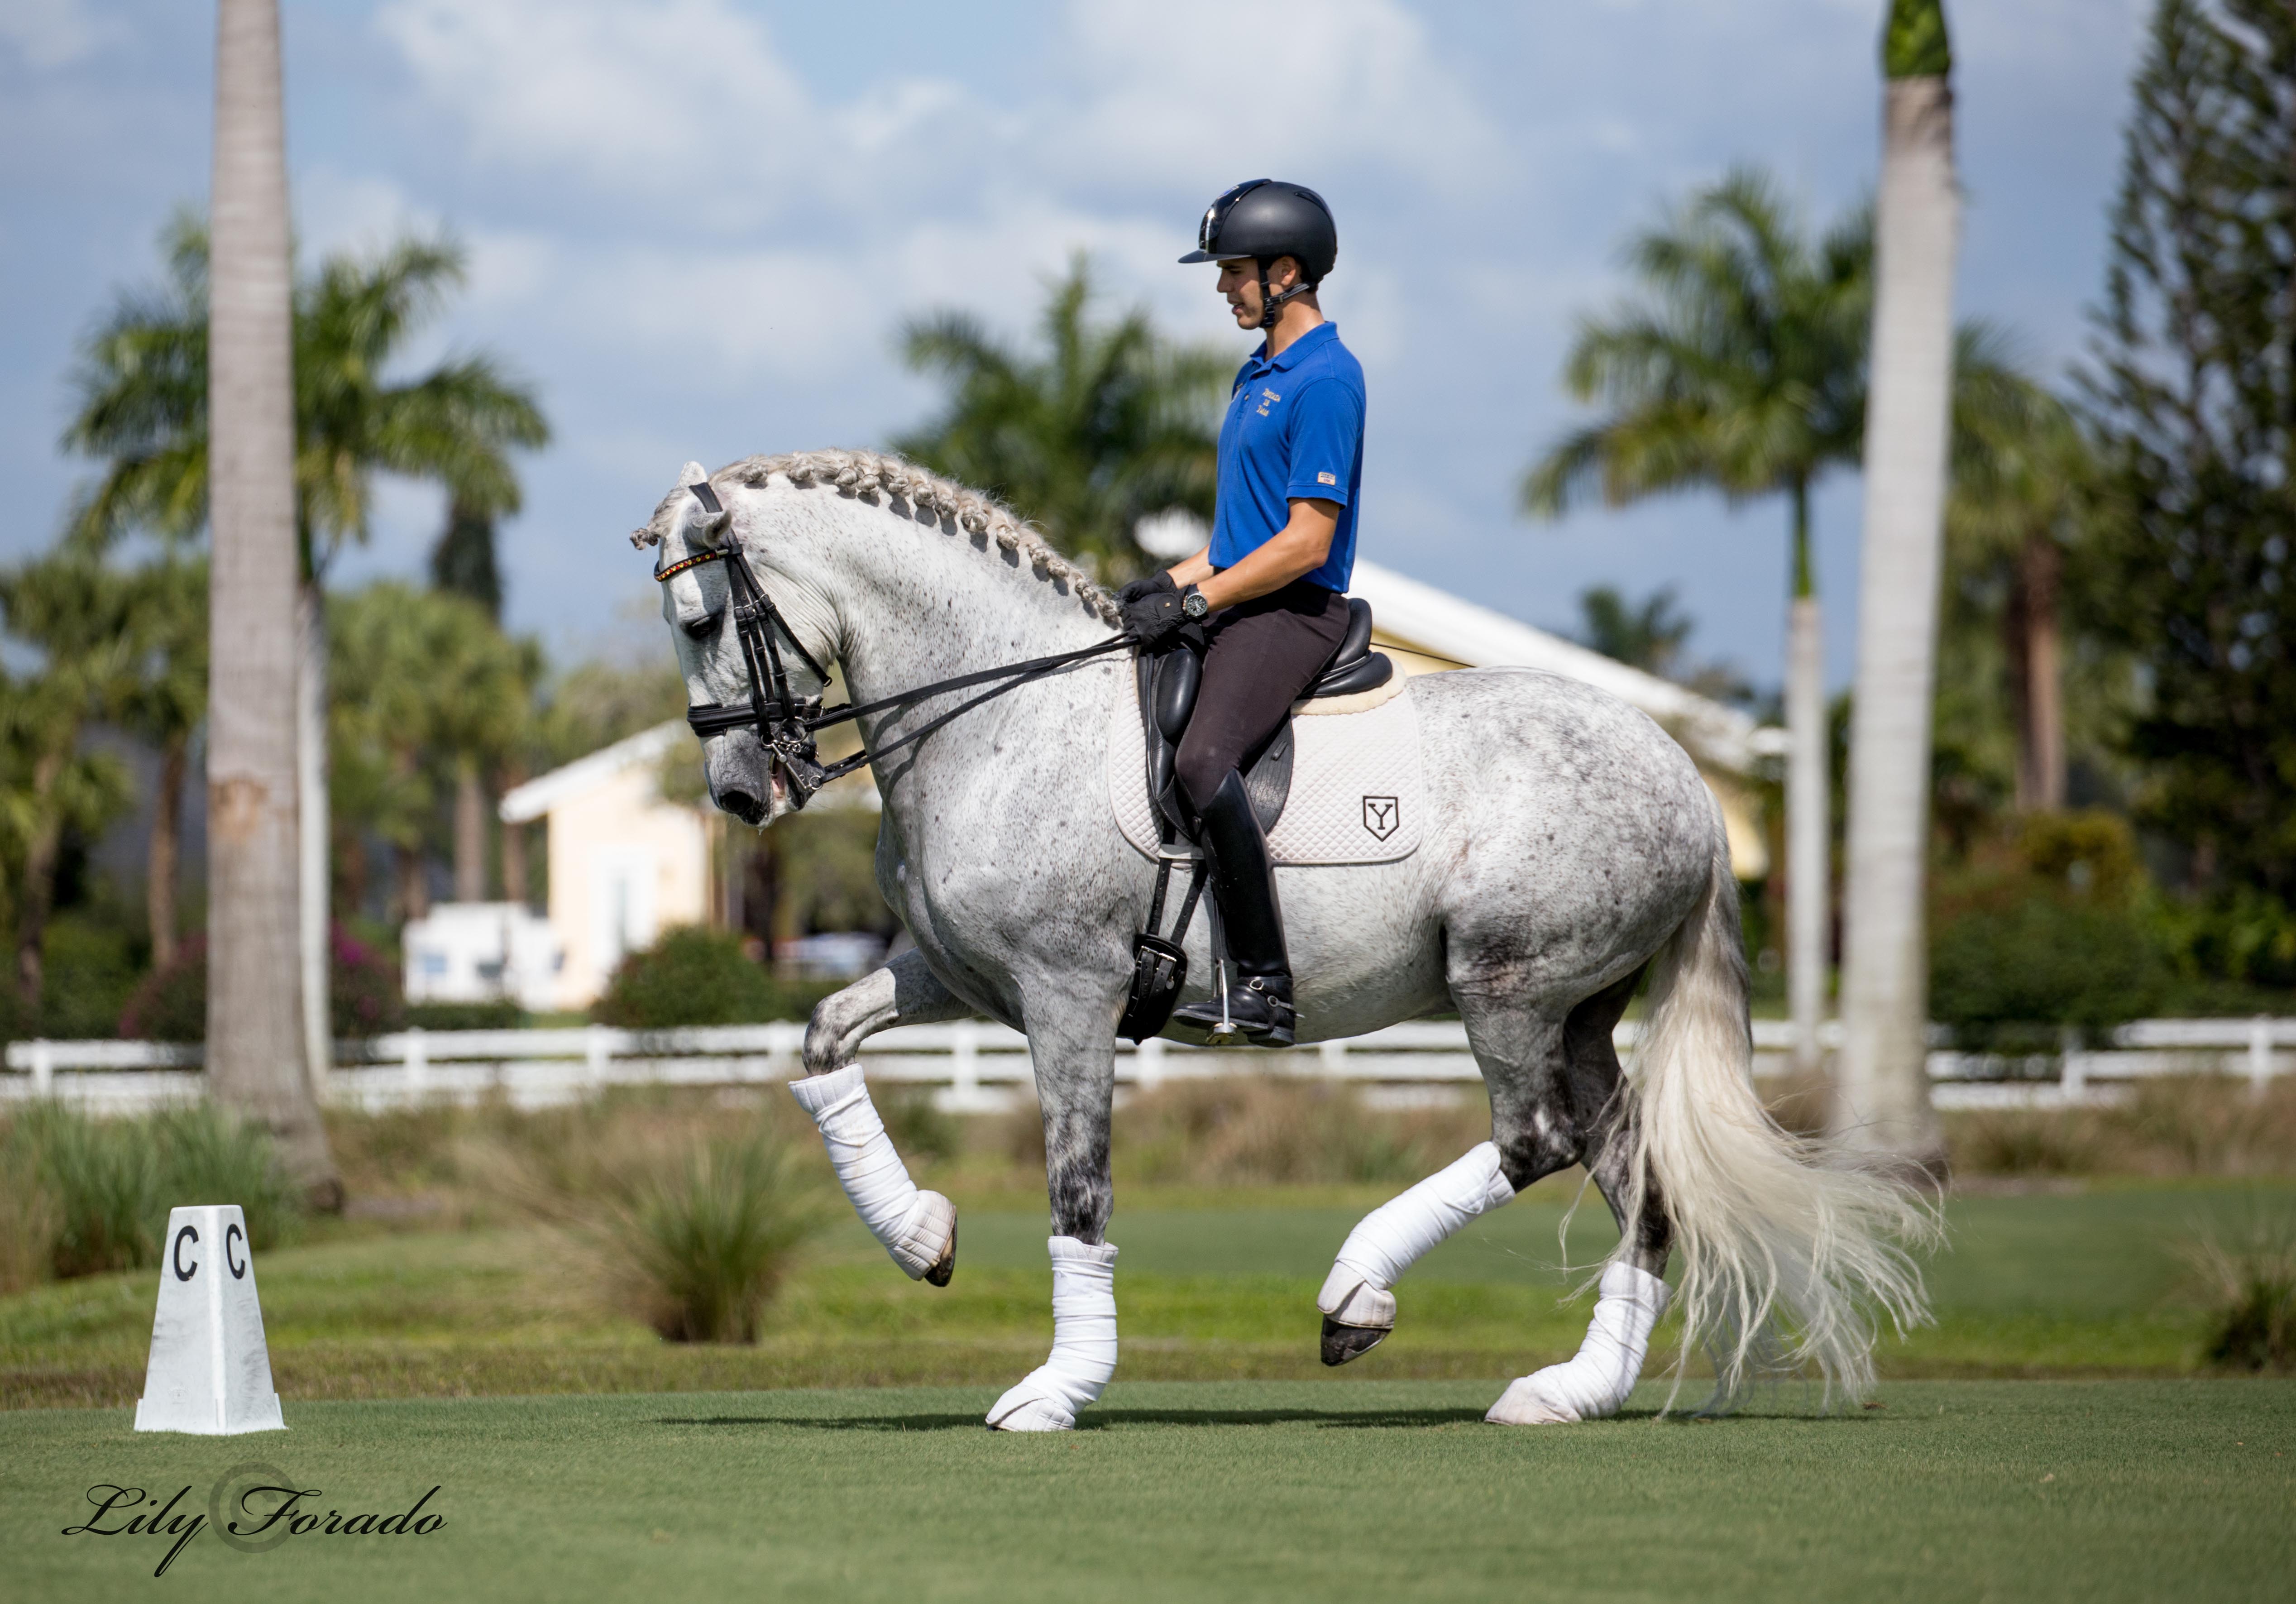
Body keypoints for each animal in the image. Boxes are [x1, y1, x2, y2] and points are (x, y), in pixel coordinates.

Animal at [638, 452, 1928, 1432]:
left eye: (702, 619)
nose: (742, 795)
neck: (1001, 717)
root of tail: (1685, 780)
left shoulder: (1068, 997)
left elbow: (1078, 1187)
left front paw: (1056, 1390)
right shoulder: (954, 975)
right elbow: (823, 1037)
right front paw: (921, 1237)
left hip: (1505, 987)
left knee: (1535, 1140)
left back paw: (1356, 1293)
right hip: (1579, 1013)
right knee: (1634, 1177)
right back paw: (1567, 1390)